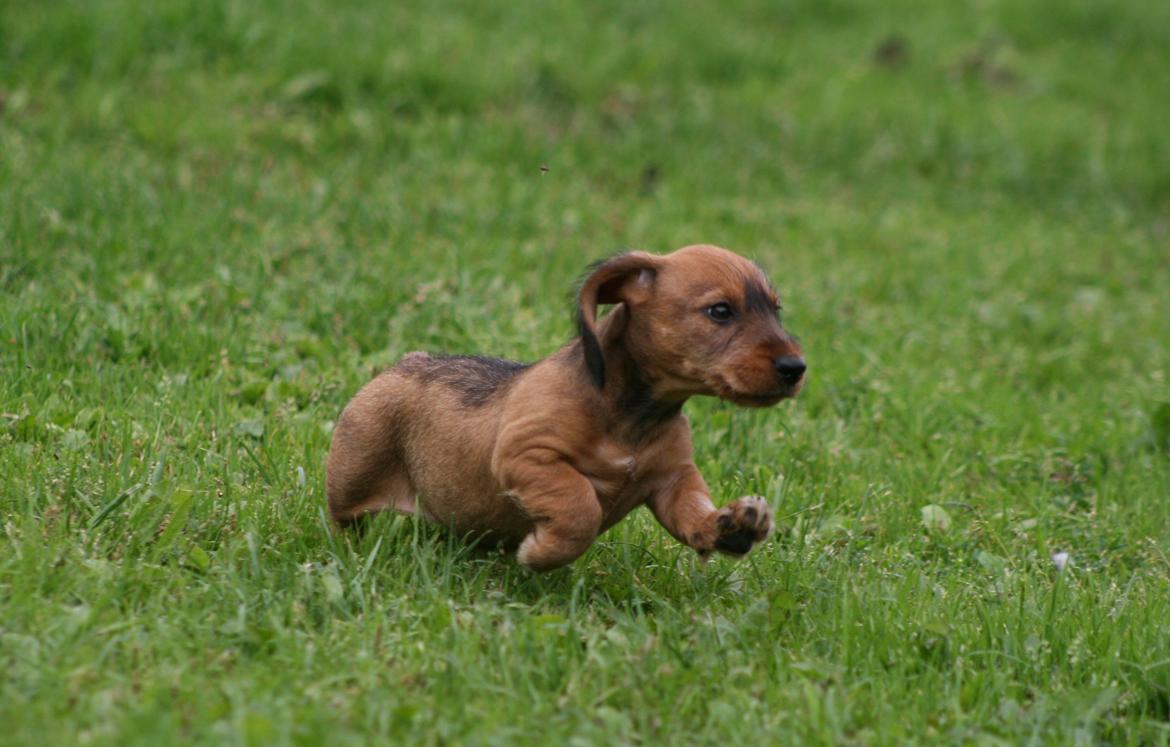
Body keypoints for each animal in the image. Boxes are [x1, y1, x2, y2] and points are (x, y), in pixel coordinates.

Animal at [327, 243, 804, 571]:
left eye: (776, 311)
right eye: (720, 311)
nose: (795, 368)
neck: (632, 416)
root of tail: (404, 362)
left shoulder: (673, 481)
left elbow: (692, 513)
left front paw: (732, 525)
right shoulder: (528, 455)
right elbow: (579, 508)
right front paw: (543, 553)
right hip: (353, 478)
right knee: (343, 521)